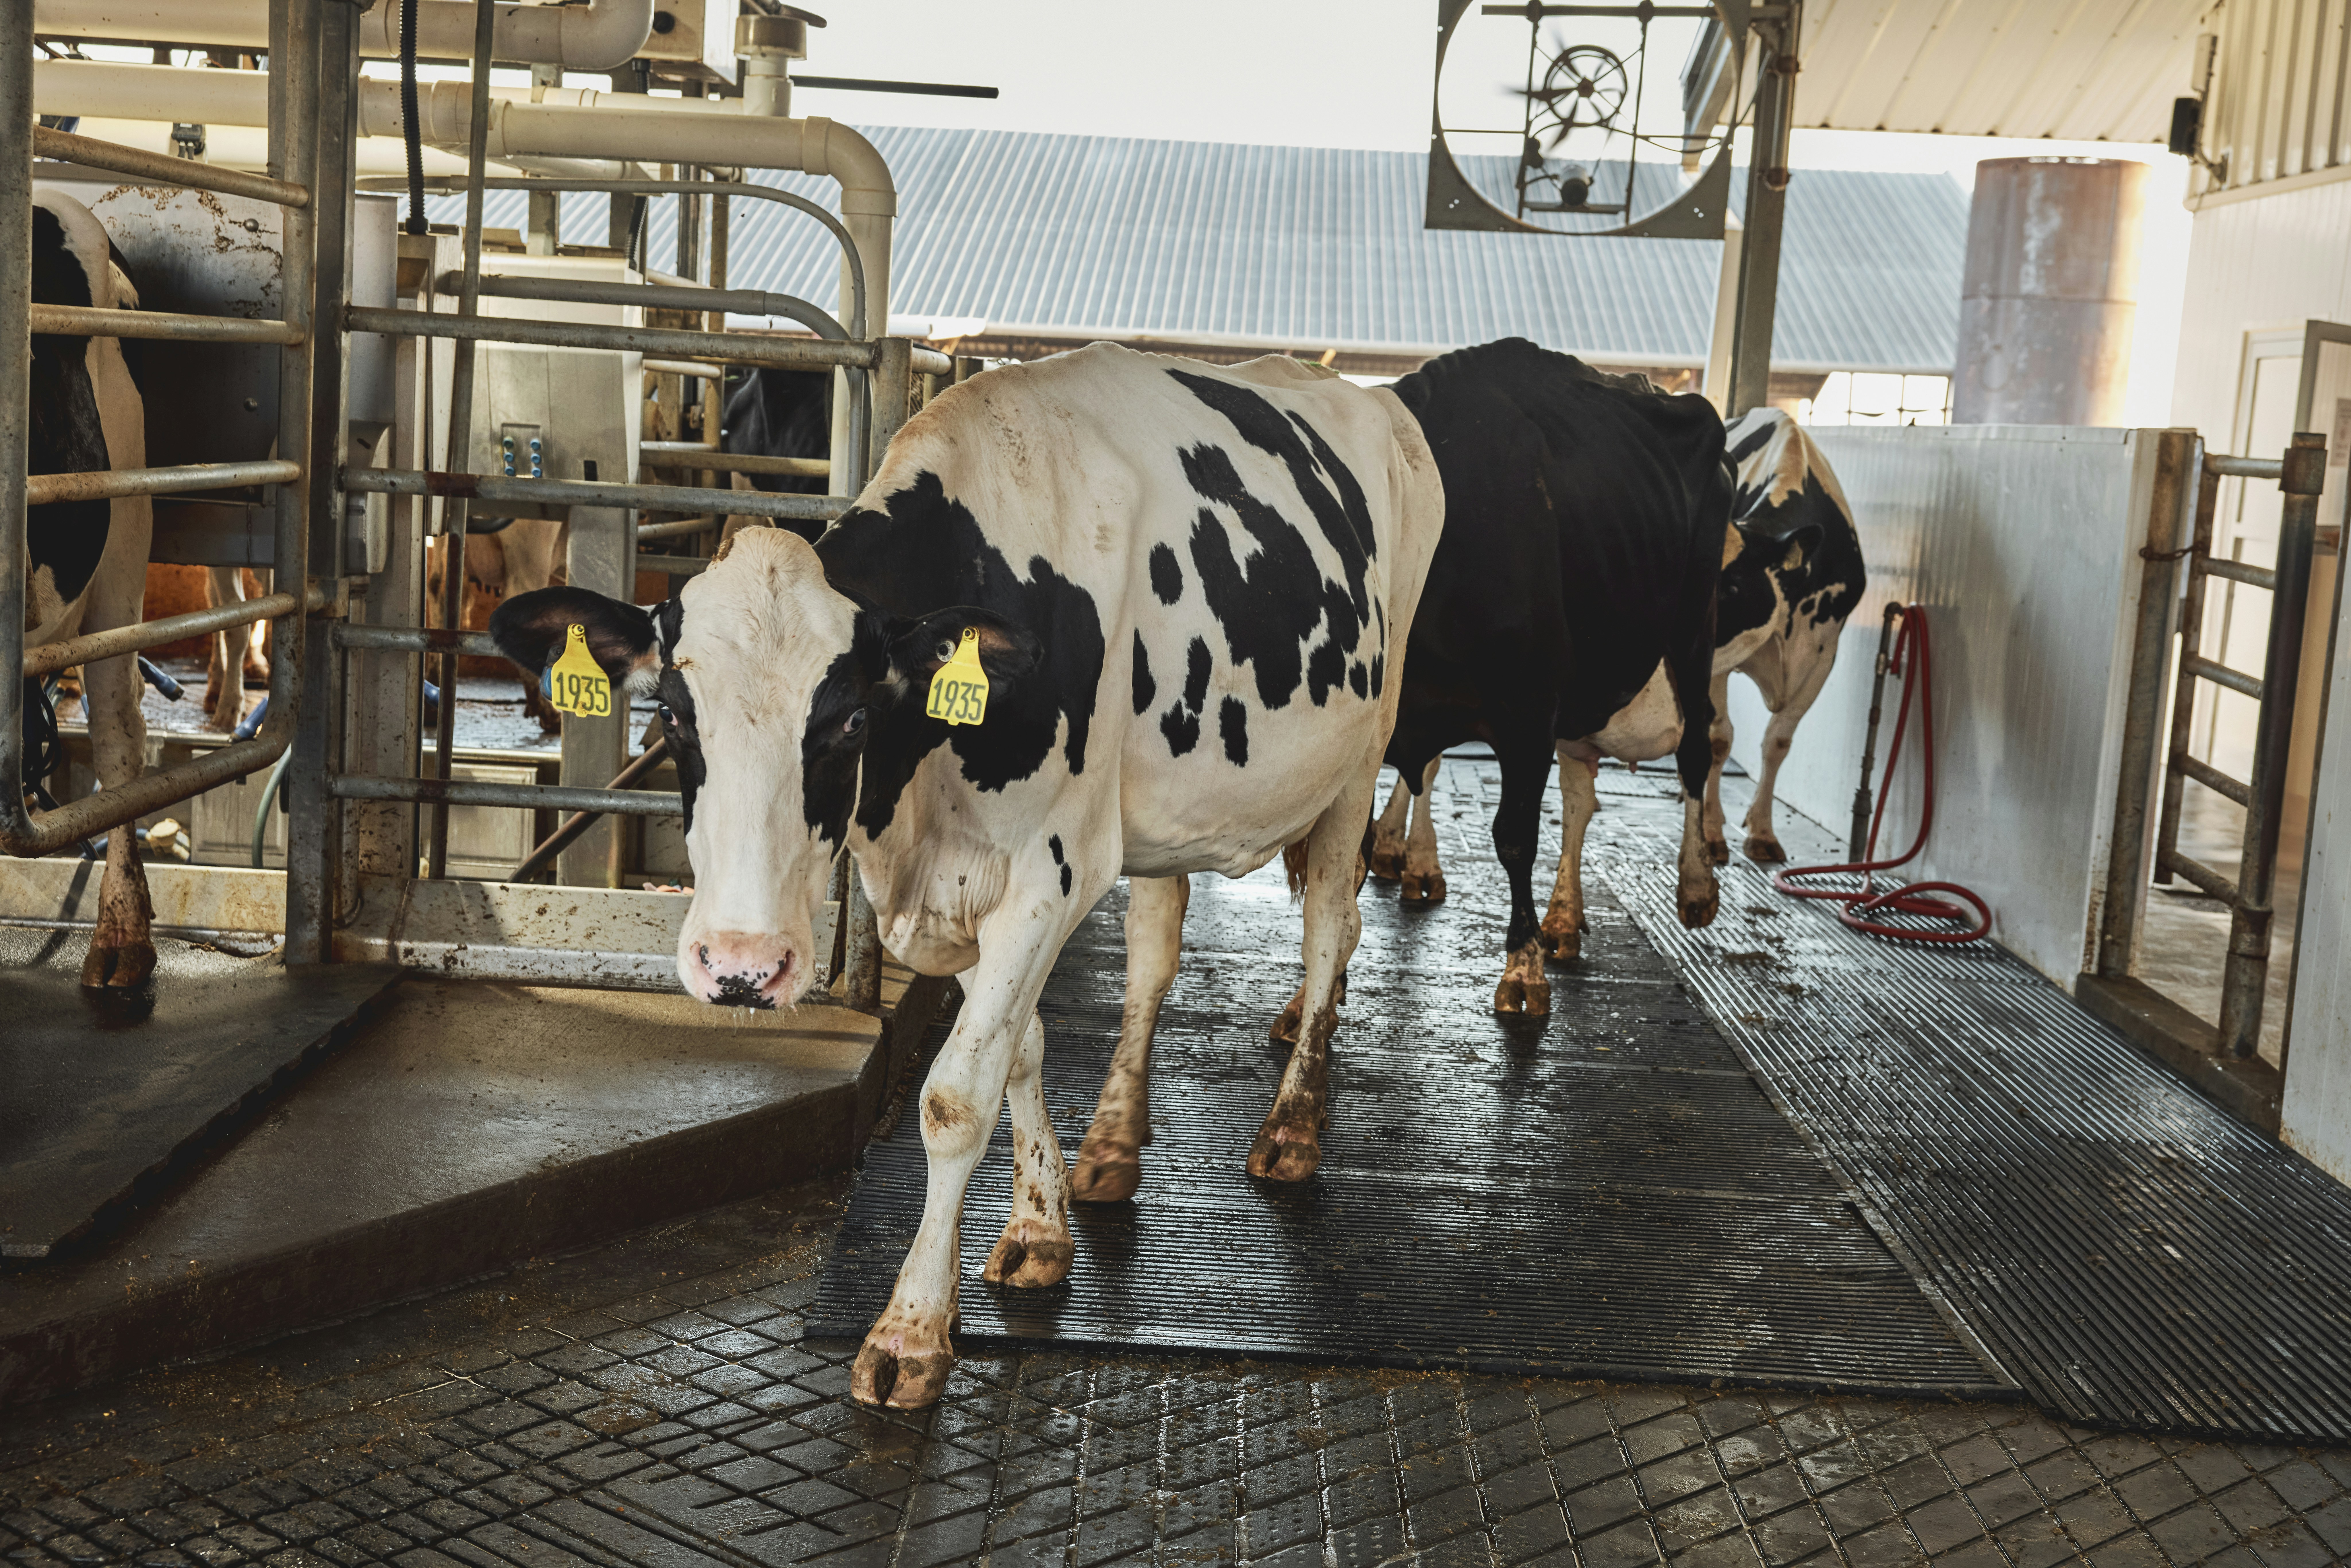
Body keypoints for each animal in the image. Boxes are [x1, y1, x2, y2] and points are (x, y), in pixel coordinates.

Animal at [489, 343, 1442, 1409]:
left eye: (850, 720)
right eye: (673, 718)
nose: (742, 966)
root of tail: (1363, 396)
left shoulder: (1048, 875)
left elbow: (955, 1096)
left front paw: (910, 1333)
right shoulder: (977, 882)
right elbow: (1023, 1050)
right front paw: (1037, 1227)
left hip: (1359, 755)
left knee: (1328, 928)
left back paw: (1292, 1129)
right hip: (1163, 810)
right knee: (1155, 954)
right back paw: (1113, 1141)